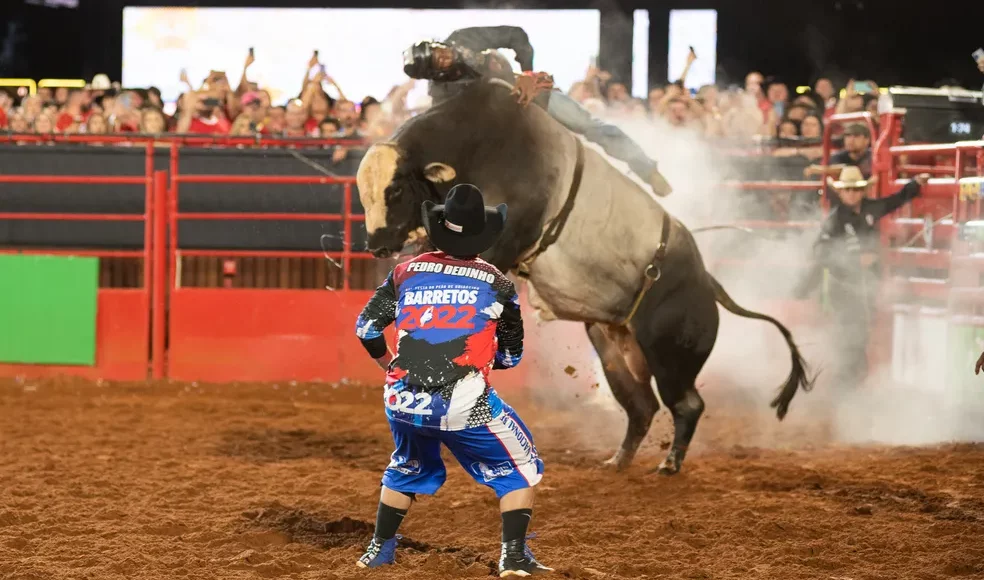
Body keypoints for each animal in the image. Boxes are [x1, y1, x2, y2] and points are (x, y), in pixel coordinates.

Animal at [356, 78, 816, 476]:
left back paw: (669, 463)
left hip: (671, 354)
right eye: (364, 194)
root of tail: (706, 281)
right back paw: (619, 460)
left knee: (686, 404)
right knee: (642, 407)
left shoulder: (503, 239)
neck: (483, 148)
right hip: (613, 346)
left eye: (395, 190)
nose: (376, 244)